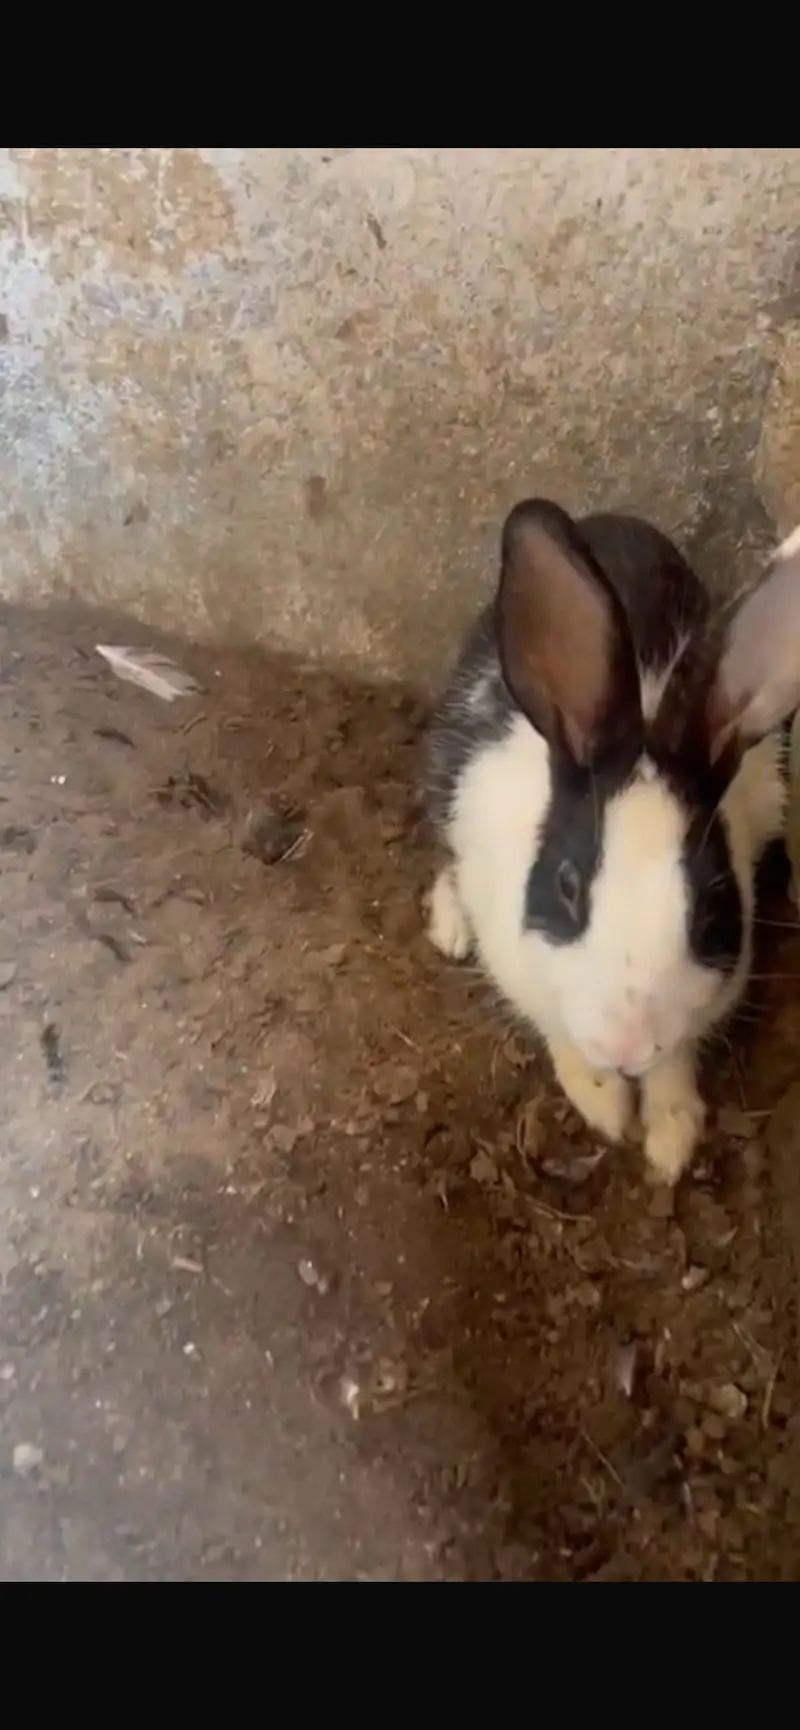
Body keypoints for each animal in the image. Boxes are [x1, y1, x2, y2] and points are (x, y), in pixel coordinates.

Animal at [424, 499, 800, 1186]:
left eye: (713, 905)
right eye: (568, 886)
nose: (626, 1044)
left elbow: (674, 1060)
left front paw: (671, 1138)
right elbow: (562, 1037)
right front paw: (603, 1105)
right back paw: (450, 926)